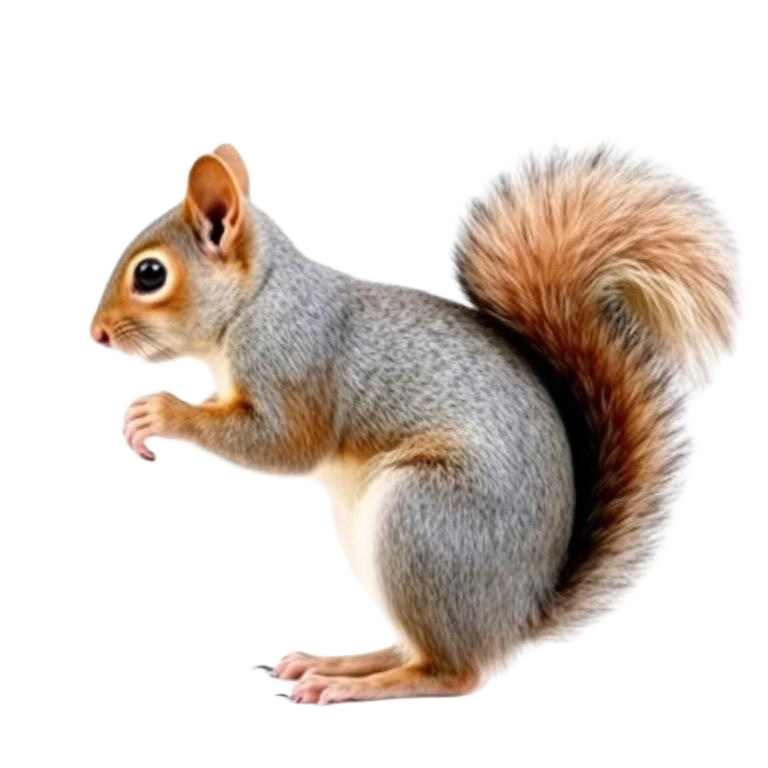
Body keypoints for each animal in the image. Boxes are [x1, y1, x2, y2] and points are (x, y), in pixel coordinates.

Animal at [90, 143, 735, 704]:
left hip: (422, 523)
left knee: (450, 672)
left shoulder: (294, 361)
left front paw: (162, 412)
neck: (257, 301)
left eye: (150, 275)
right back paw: (336, 661)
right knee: (410, 646)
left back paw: (348, 686)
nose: (95, 334)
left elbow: (286, 445)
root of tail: (516, 616)